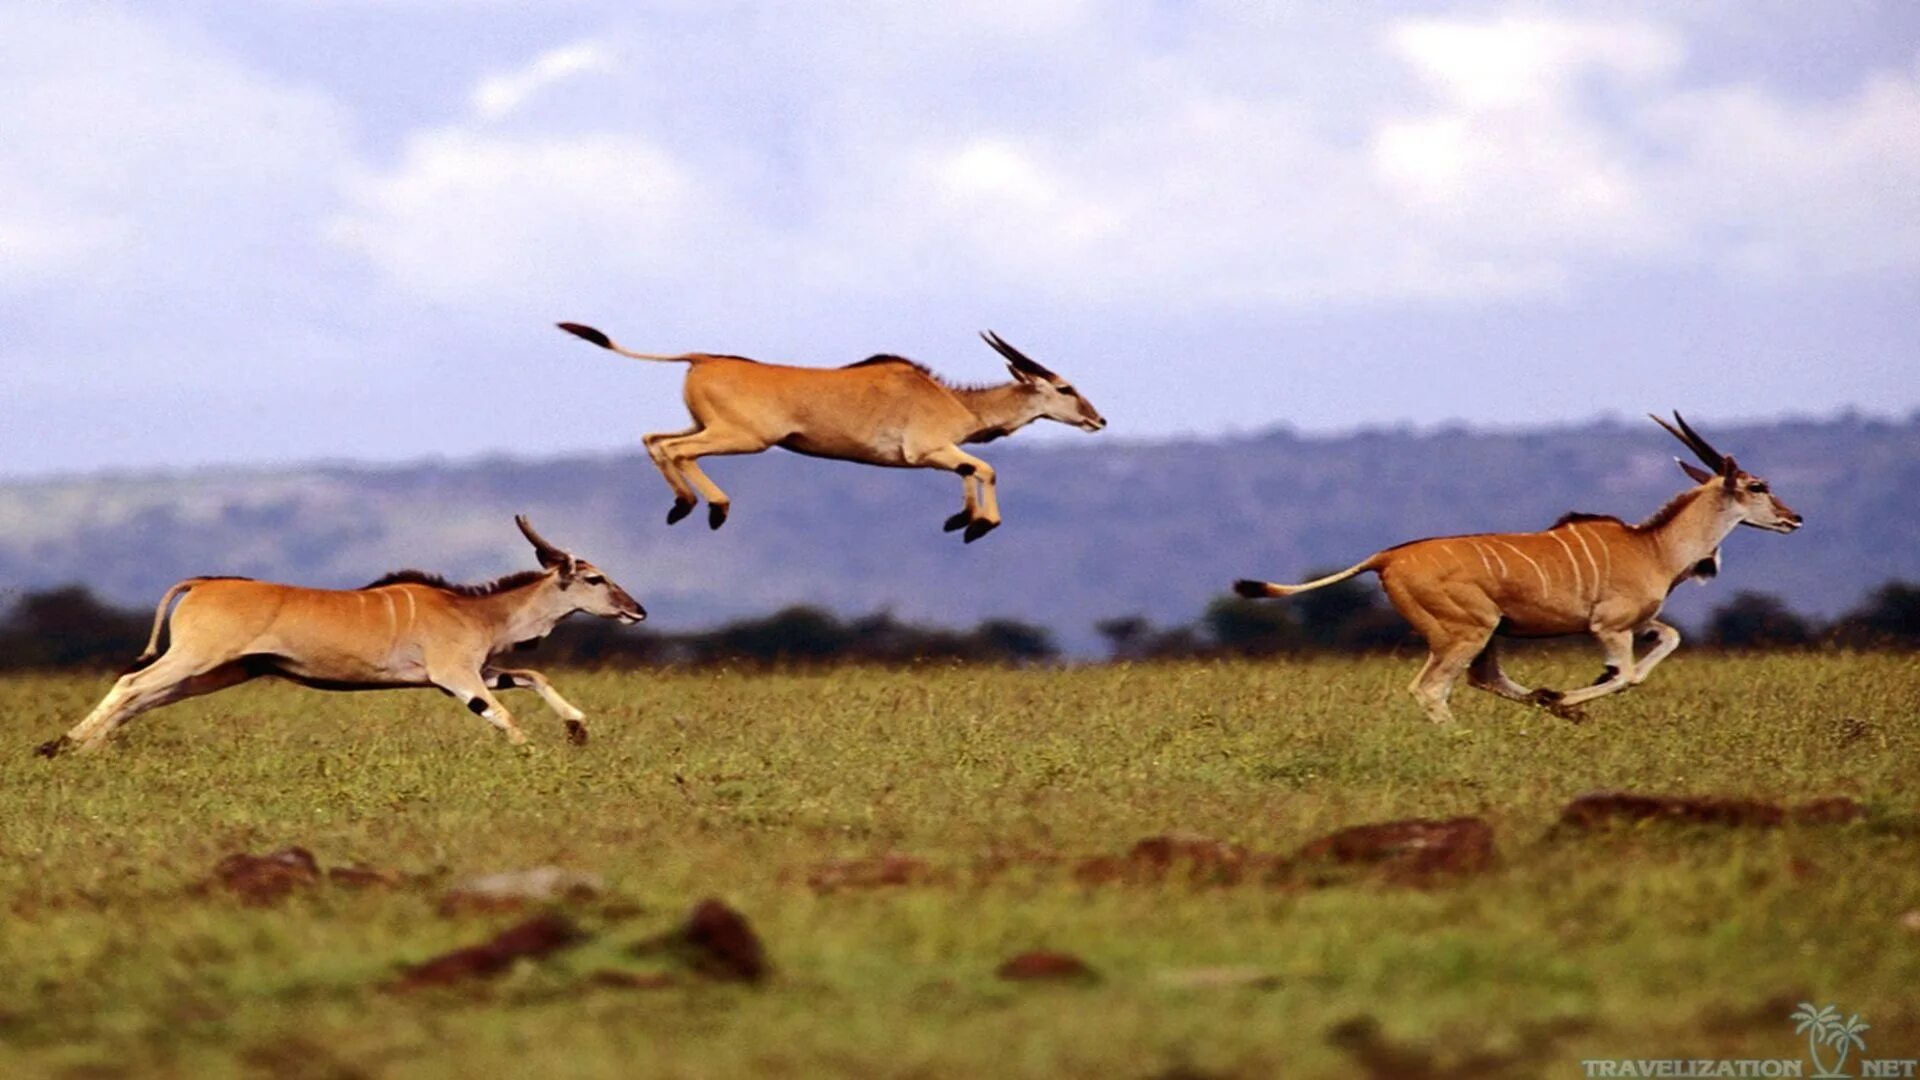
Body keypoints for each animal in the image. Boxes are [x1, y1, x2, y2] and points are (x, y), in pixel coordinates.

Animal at [35, 515, 645, 753]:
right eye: (594, 578)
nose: (637, 610)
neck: (477, 612)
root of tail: (203, 583)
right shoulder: (458, 677)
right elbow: (504, 715)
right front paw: (534, 753)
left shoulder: (480, 671)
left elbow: (534, 675)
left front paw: (577, 729)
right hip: (195, 659)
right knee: (130, 685)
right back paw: (62, 745)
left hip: (216, 672)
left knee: (142, 697)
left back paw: (76, 747)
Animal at [552, 317, 1113, 538]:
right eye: (1064, 388)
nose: (1098, 419)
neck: (954, 400)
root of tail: (701, 358)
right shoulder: (929, 451)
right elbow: (985, 469)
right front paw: (979, 525)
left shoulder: (941, 457)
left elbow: (969, 473)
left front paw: (961, 521)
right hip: (744, 439)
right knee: (676, 450)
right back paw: (712, 508)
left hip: (705, 426)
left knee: (655, 440)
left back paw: (684, 505)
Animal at [1228, 411, 1797, 722]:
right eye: (1757, 486)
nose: (1795, 518)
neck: (1653, 546)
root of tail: (1386, 556)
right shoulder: (1609, 626)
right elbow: (1627, 675)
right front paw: (1570, 692)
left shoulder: (1638, 622)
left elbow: (1667, 640)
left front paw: (1564, 698)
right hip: (1468, 629)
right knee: (1434, 689)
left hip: (1489, 631)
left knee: (1484, 679)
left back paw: (1554, 706)